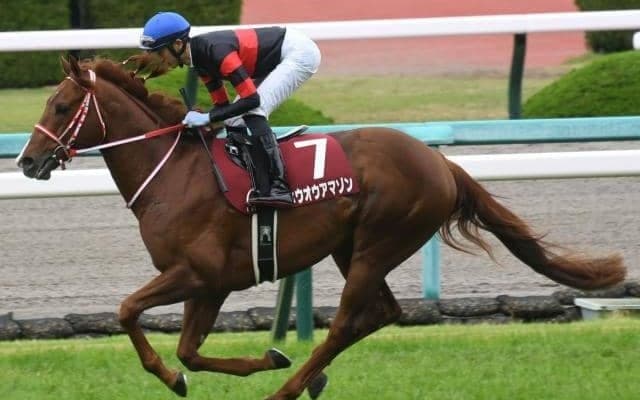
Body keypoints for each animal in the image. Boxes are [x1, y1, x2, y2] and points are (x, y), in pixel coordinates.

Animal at [18, 57, 626, 400]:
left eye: (62, 105)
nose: (27, 161)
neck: (175, 171)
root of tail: (439, 162)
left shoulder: (196, 273)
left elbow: (127, 312)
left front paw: (184, 378)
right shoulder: (211, 284)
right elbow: (189, 350)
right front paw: (259, 358)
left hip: (379, 242)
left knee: (347, 323)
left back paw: (288, 390)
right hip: (350, 247)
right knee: (381, 314)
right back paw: (307, 378)